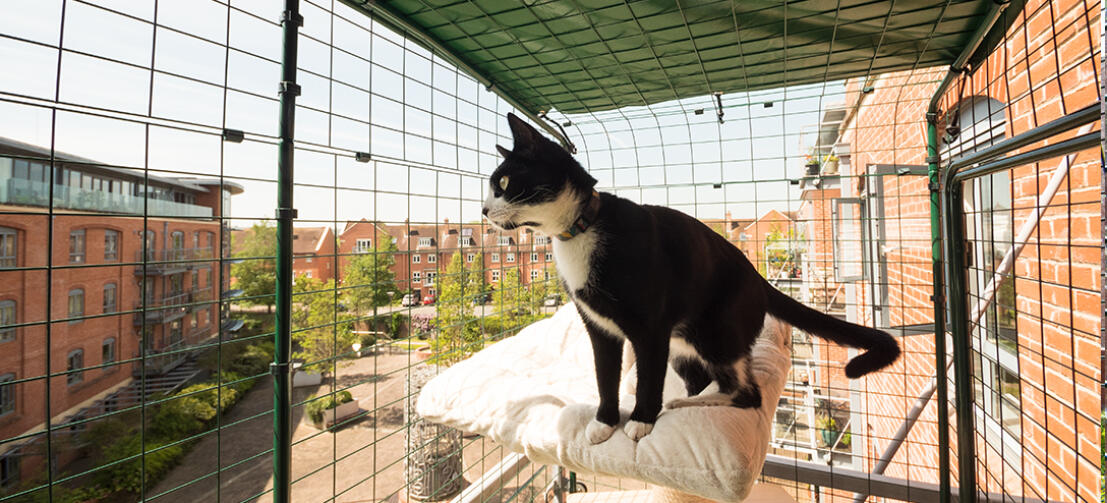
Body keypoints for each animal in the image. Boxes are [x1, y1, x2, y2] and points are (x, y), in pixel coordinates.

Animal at [484, 114, 898, 443]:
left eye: (503, 183)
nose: (484, 210)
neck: (582, 229)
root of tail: (759, 279)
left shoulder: (650, 327)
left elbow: (648, 377)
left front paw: (641, 420)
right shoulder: (598, 327)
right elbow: (605, 375)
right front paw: (603, 423)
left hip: (715, 331)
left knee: (748, 392)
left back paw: (688, 402)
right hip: (683, 345)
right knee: (707, 378)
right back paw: (691, 397)